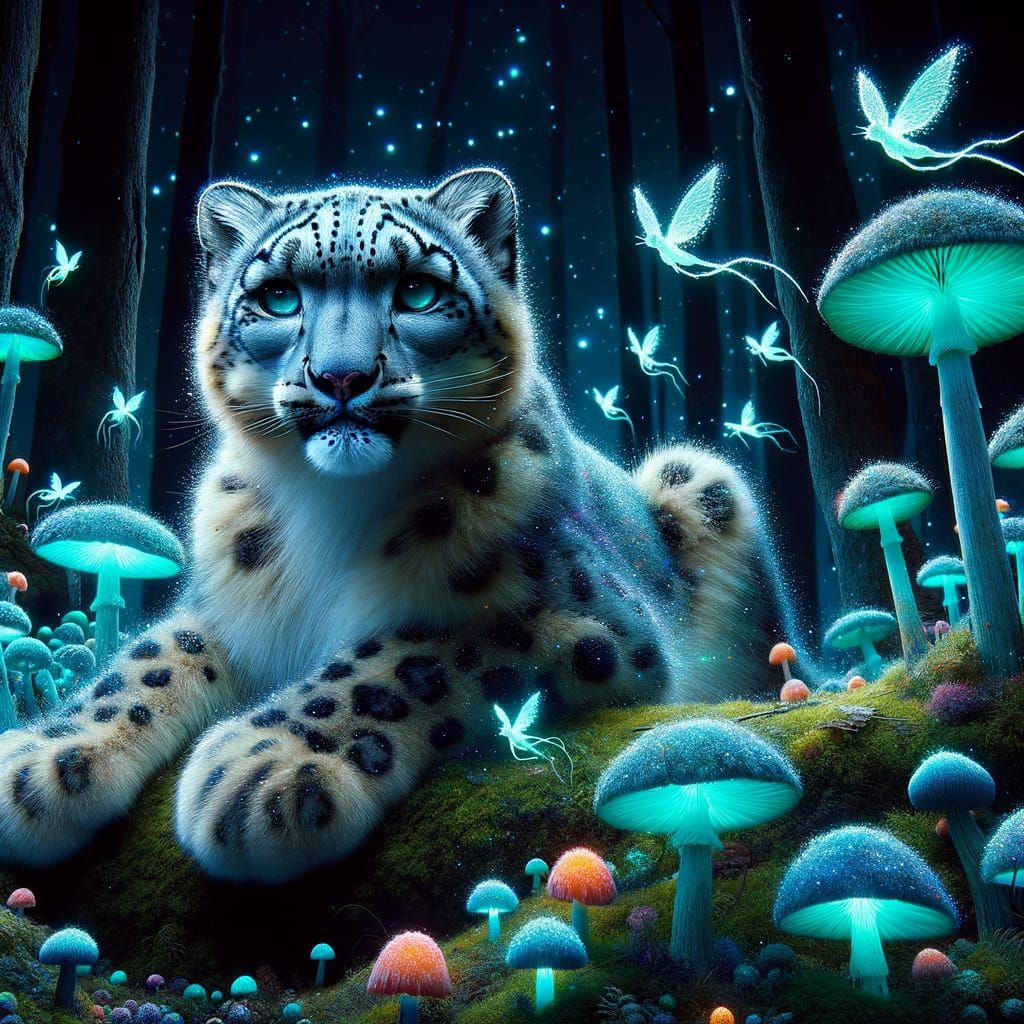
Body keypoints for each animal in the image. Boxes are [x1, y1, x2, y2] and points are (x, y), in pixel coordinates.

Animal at [0, 168, 796, 882]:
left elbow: (407, 653)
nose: (341, 377)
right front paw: (41, 758)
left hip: (700, 477)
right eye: (278, 295)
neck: (333, 511)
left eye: (417, 289)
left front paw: (268, 766)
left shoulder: (588, 622)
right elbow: (150, 657)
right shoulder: (228, 610)